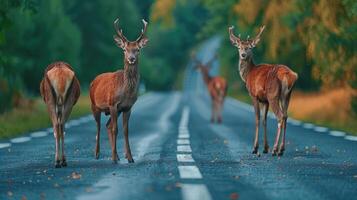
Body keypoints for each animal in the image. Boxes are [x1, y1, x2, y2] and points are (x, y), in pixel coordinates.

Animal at [90, 18, 149, 163]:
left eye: (137, 50)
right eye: (124, 49)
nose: (131, 58)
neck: (126, 92)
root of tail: (94, 80)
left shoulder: (127, 107)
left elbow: (125, 131)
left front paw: (130, 157)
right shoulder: (112, 103)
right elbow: (115, 130)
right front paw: (114, 158)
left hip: (113, 111)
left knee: (107, 126)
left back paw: (115, 155)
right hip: (94, 105)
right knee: (99, 127)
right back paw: (97, 153)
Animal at [228, 24, 298, 156]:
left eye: (249, 48)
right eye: (239, 47)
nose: (243, 54)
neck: (248, 75)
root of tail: (289, 75)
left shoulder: (254, 95)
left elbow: (257, 118)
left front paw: (255, 148)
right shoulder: (264, 100)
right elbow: (265, 120)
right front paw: (265, 148)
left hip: (273, 95)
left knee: (280, 116)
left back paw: (275, 149)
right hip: (287, 95)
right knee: (286, 116)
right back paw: (281, 149)